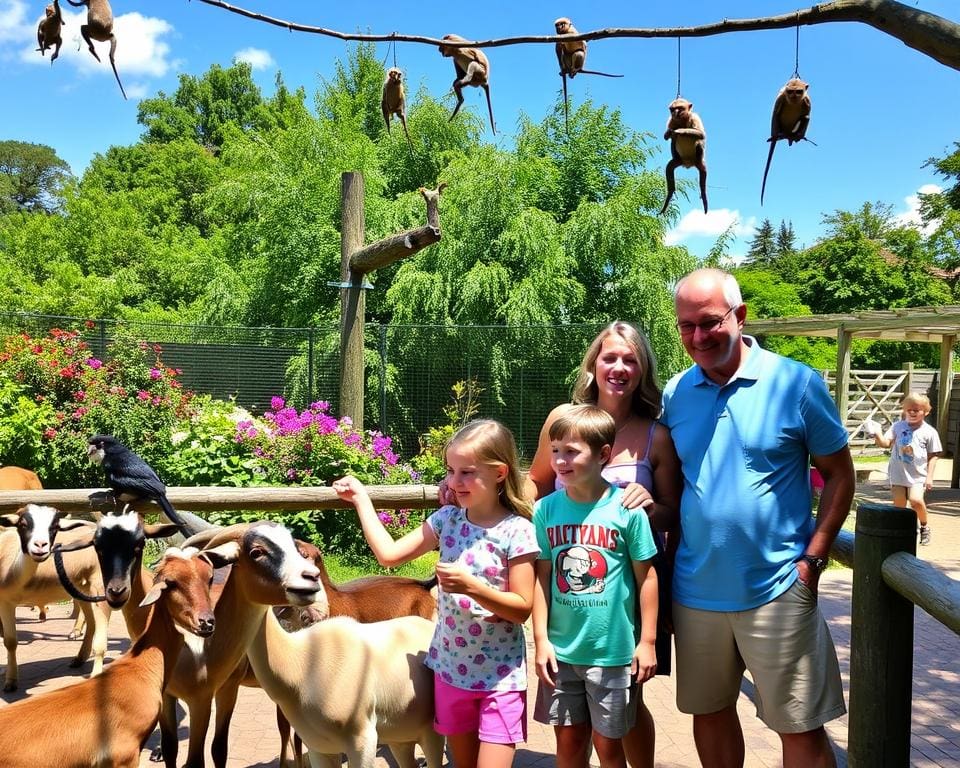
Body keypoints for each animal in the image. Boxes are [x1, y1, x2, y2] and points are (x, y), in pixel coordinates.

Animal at [0, 504, 108, 688]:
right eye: (23, 524)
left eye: (54, 527)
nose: (40, 546)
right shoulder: (4, 602)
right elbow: (9, 641)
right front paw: (10, 679)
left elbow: (10, 641)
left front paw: (10, 682)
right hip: (81, 587)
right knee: (91, 621)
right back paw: (79, 658)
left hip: (101, 584)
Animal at [202, 520, 446, 768]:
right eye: (256, 552)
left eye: (298, 549)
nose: (310, 579)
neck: (302, 659)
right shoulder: (319, 746)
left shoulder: (363, 740)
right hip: (401, 736)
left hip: (430, 733)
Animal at [760, 76, 812, 206]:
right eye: (790, 91)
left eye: (798, 91)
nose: (793, 96)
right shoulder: (781, 98)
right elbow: (775, 114)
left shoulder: (807, 101)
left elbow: (807, 113)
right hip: (780, 128)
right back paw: (778, 136)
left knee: (806, 117)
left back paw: (795, 136)